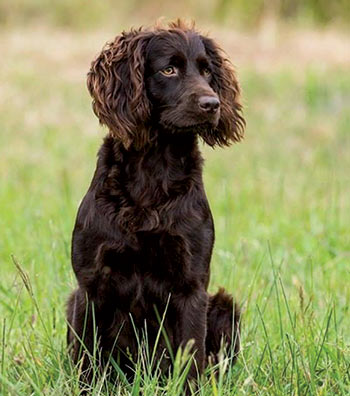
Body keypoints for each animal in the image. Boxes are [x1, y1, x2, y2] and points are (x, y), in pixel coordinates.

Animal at [67, 19, 245, 384]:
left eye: (207, 71)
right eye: (168, 69)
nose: (213, 104)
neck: (153, 168)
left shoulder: (192, 285)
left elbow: (191, 357)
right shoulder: (90, 284)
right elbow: (86, 359)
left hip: (224, 307)